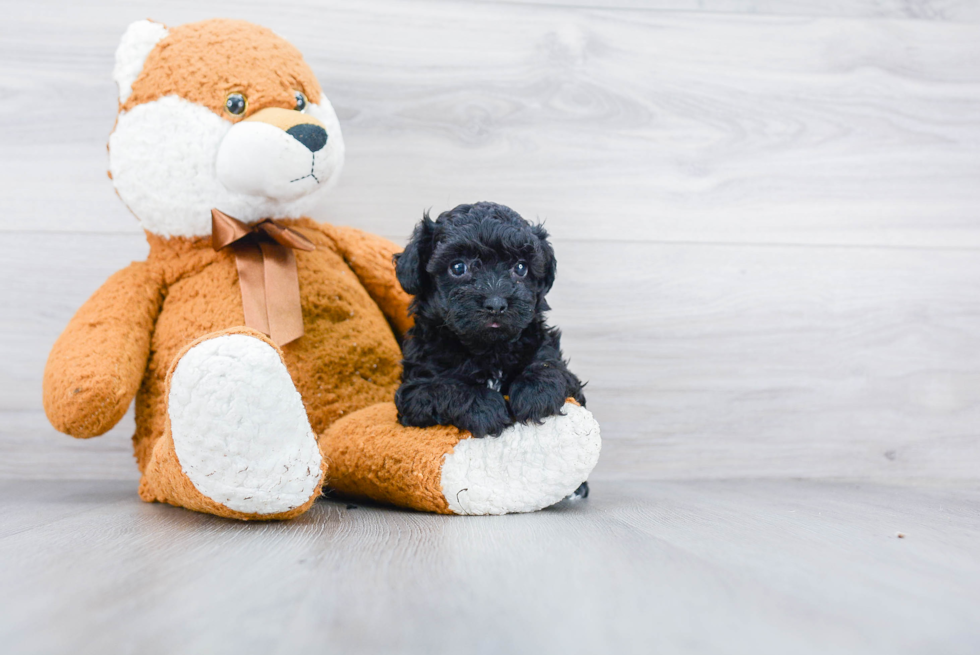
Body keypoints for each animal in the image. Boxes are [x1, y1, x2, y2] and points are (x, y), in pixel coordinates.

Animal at [394, 201, 584, 440]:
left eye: (521, 267)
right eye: (458, 267)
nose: (496, 304)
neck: (488, 350)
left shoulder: (548, 351)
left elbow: (549, 364)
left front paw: (536, 391)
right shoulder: (414, 390)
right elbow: (443, 387)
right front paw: (485, 407)